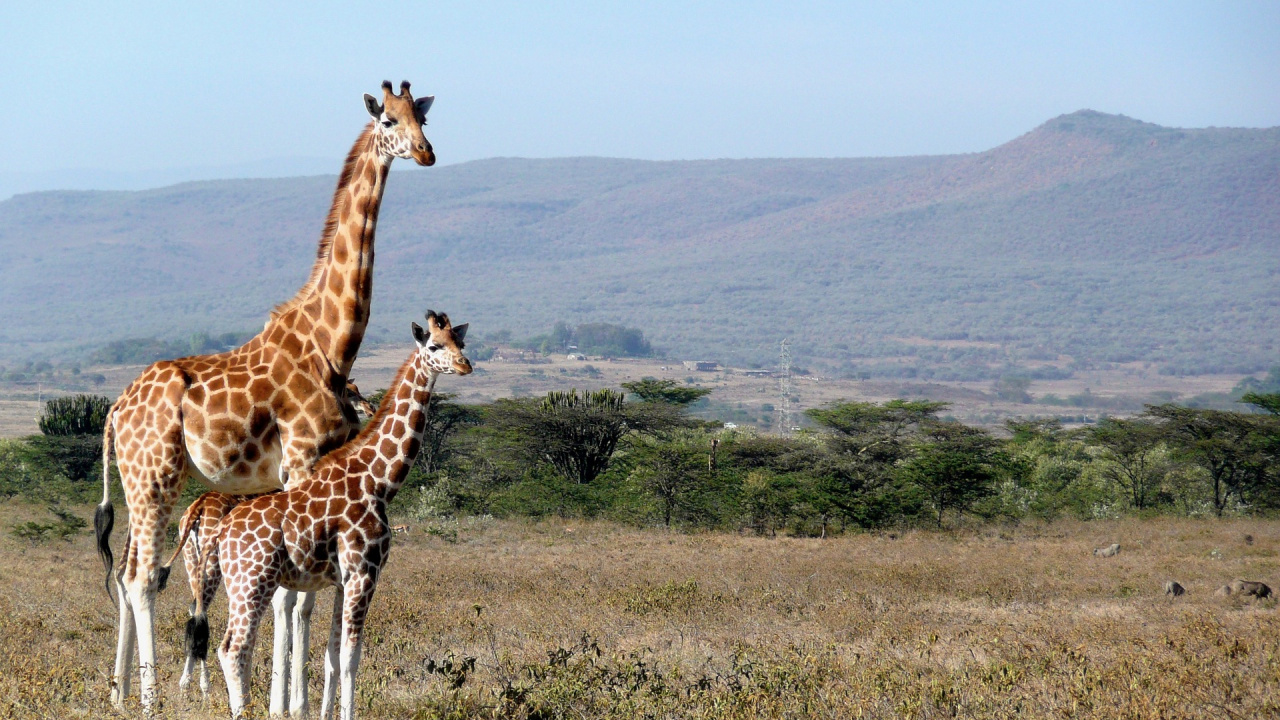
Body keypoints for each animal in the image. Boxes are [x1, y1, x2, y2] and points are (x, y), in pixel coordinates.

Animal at [169, 381, 375, 697]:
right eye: (351, 391)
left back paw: (187, 682)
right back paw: (203, 684)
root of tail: (198, 509)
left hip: (193, 562)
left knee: (194, 609)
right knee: (202, 611)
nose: (370, 409)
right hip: (213, 566)